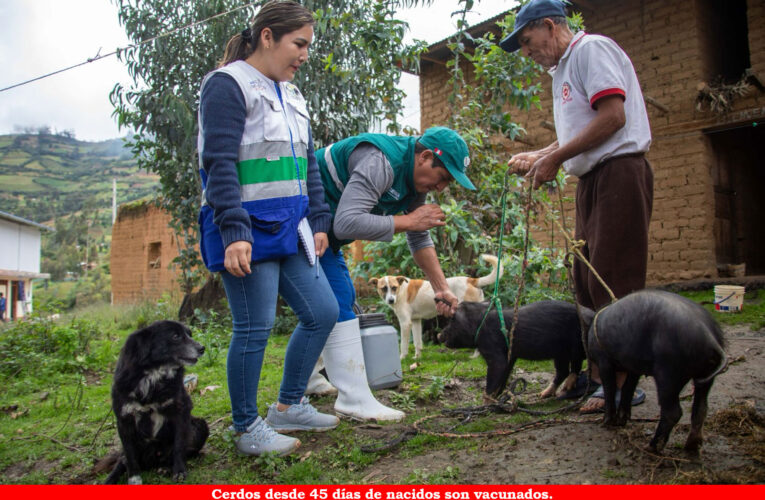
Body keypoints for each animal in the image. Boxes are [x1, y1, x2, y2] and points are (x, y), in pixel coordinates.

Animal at [106, 320, 209, 484]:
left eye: (189, 334)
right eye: (175, 336)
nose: (202, 348)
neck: (153, 376)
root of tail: (153, 461)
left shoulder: (181, 410)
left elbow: (179, 445)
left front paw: (179, 471)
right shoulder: (124, 419)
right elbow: (129, 455)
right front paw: (134, 478)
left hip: (199, 426)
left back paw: (166, 467)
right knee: (123, 460)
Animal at [368, 254, 502, 360]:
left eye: (394, 287)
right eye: (383, 288)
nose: (391, 300)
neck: (401, 290)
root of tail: (471, 280)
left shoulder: (405, 323)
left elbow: (404, 345)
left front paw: (402, 358)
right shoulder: (415, 321)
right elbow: (417, 342)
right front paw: (417, 358)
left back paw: (475, 356)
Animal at [436, 300, 592, 398]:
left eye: (452, 320)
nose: (439, 335)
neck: (479, 324)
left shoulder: (493, 351)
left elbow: (495, 375)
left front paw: (485, 402)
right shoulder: (510, 357)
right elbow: (503, 377)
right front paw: (498, 399)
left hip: (575, 342)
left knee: (576, 363)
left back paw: (568, 388)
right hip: (559, 352)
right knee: (562, 371)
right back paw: (543, 395)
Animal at [588, 292, 724, 456]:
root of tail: (708, 334)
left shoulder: (604, 362)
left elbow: (610, 388)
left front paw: (606, 423)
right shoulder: (634, 366)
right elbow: (628, 388)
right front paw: (621, 421)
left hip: (668, 372)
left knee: (673, 412)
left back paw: (650, 447)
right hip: (706, 374)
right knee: (701, 408)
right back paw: (691, 447)